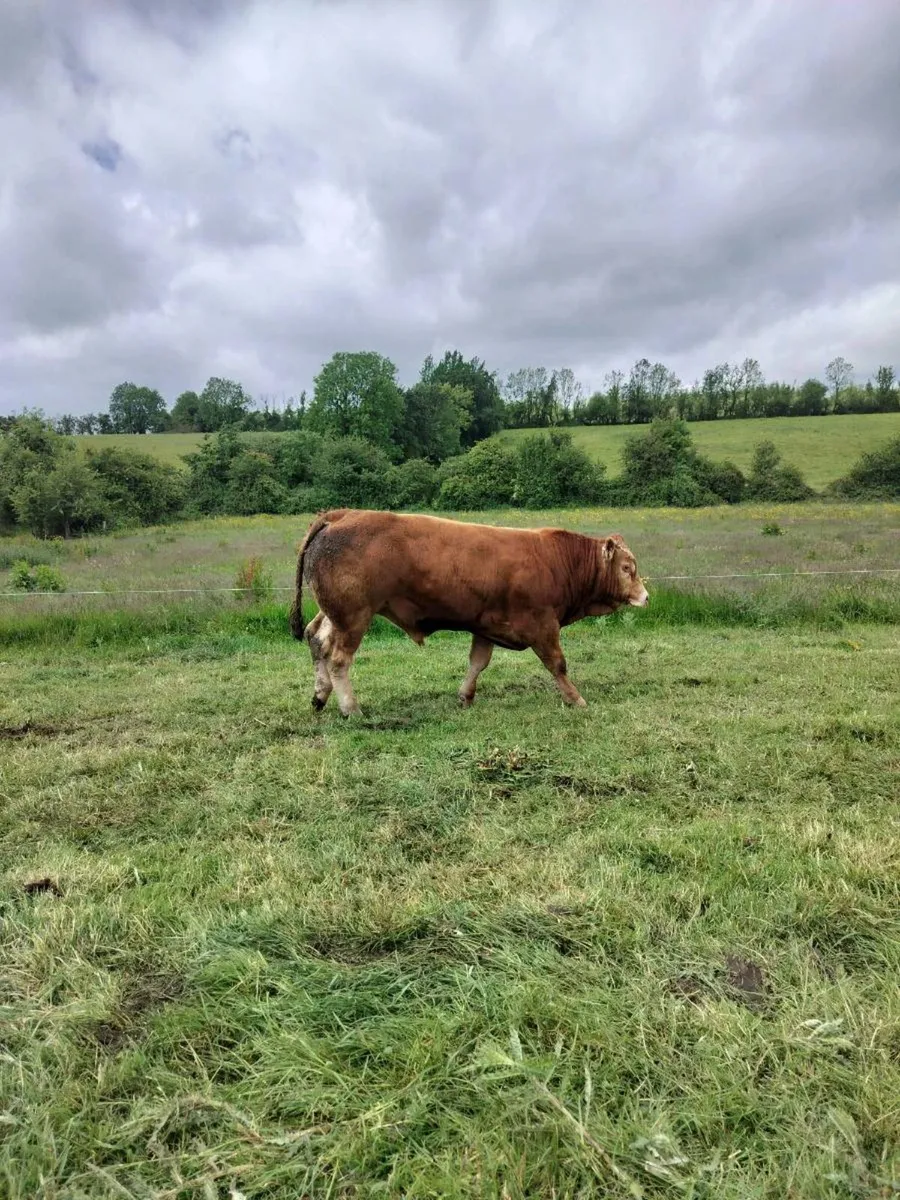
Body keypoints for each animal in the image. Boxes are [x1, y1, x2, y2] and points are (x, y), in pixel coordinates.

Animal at [289, 508, 649, 716]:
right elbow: (557, 664)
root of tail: (341, 514)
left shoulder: (485, 625)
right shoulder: (543, 625)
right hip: (354, 616)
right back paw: (350, 708)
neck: (558, 560)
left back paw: (320, 696)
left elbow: (478, 662)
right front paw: (576, 699)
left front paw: (465, 696)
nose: (645, 596)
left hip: (334, 612)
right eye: (627, 567)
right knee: (338, 659)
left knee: (317, 639)